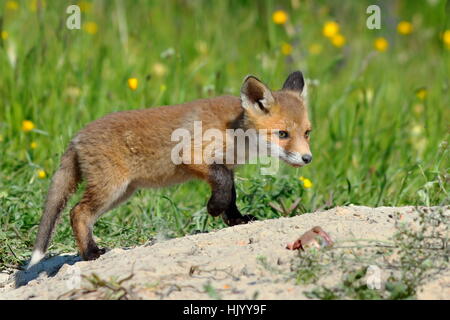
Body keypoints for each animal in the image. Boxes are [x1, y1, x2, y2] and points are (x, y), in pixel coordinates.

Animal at [28, 72, 312, 268]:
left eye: (307, 133)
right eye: (283, 134)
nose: (307, 158)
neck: (236, 132)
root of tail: (77, 136)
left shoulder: (227, 166)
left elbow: (230, 195)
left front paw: (236, 220)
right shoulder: (192, 156)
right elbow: (221, 187)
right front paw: (213, 209)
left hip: (121, 193)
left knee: (81, 214)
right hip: (111, 189)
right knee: (77, 212)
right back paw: (91, 253)